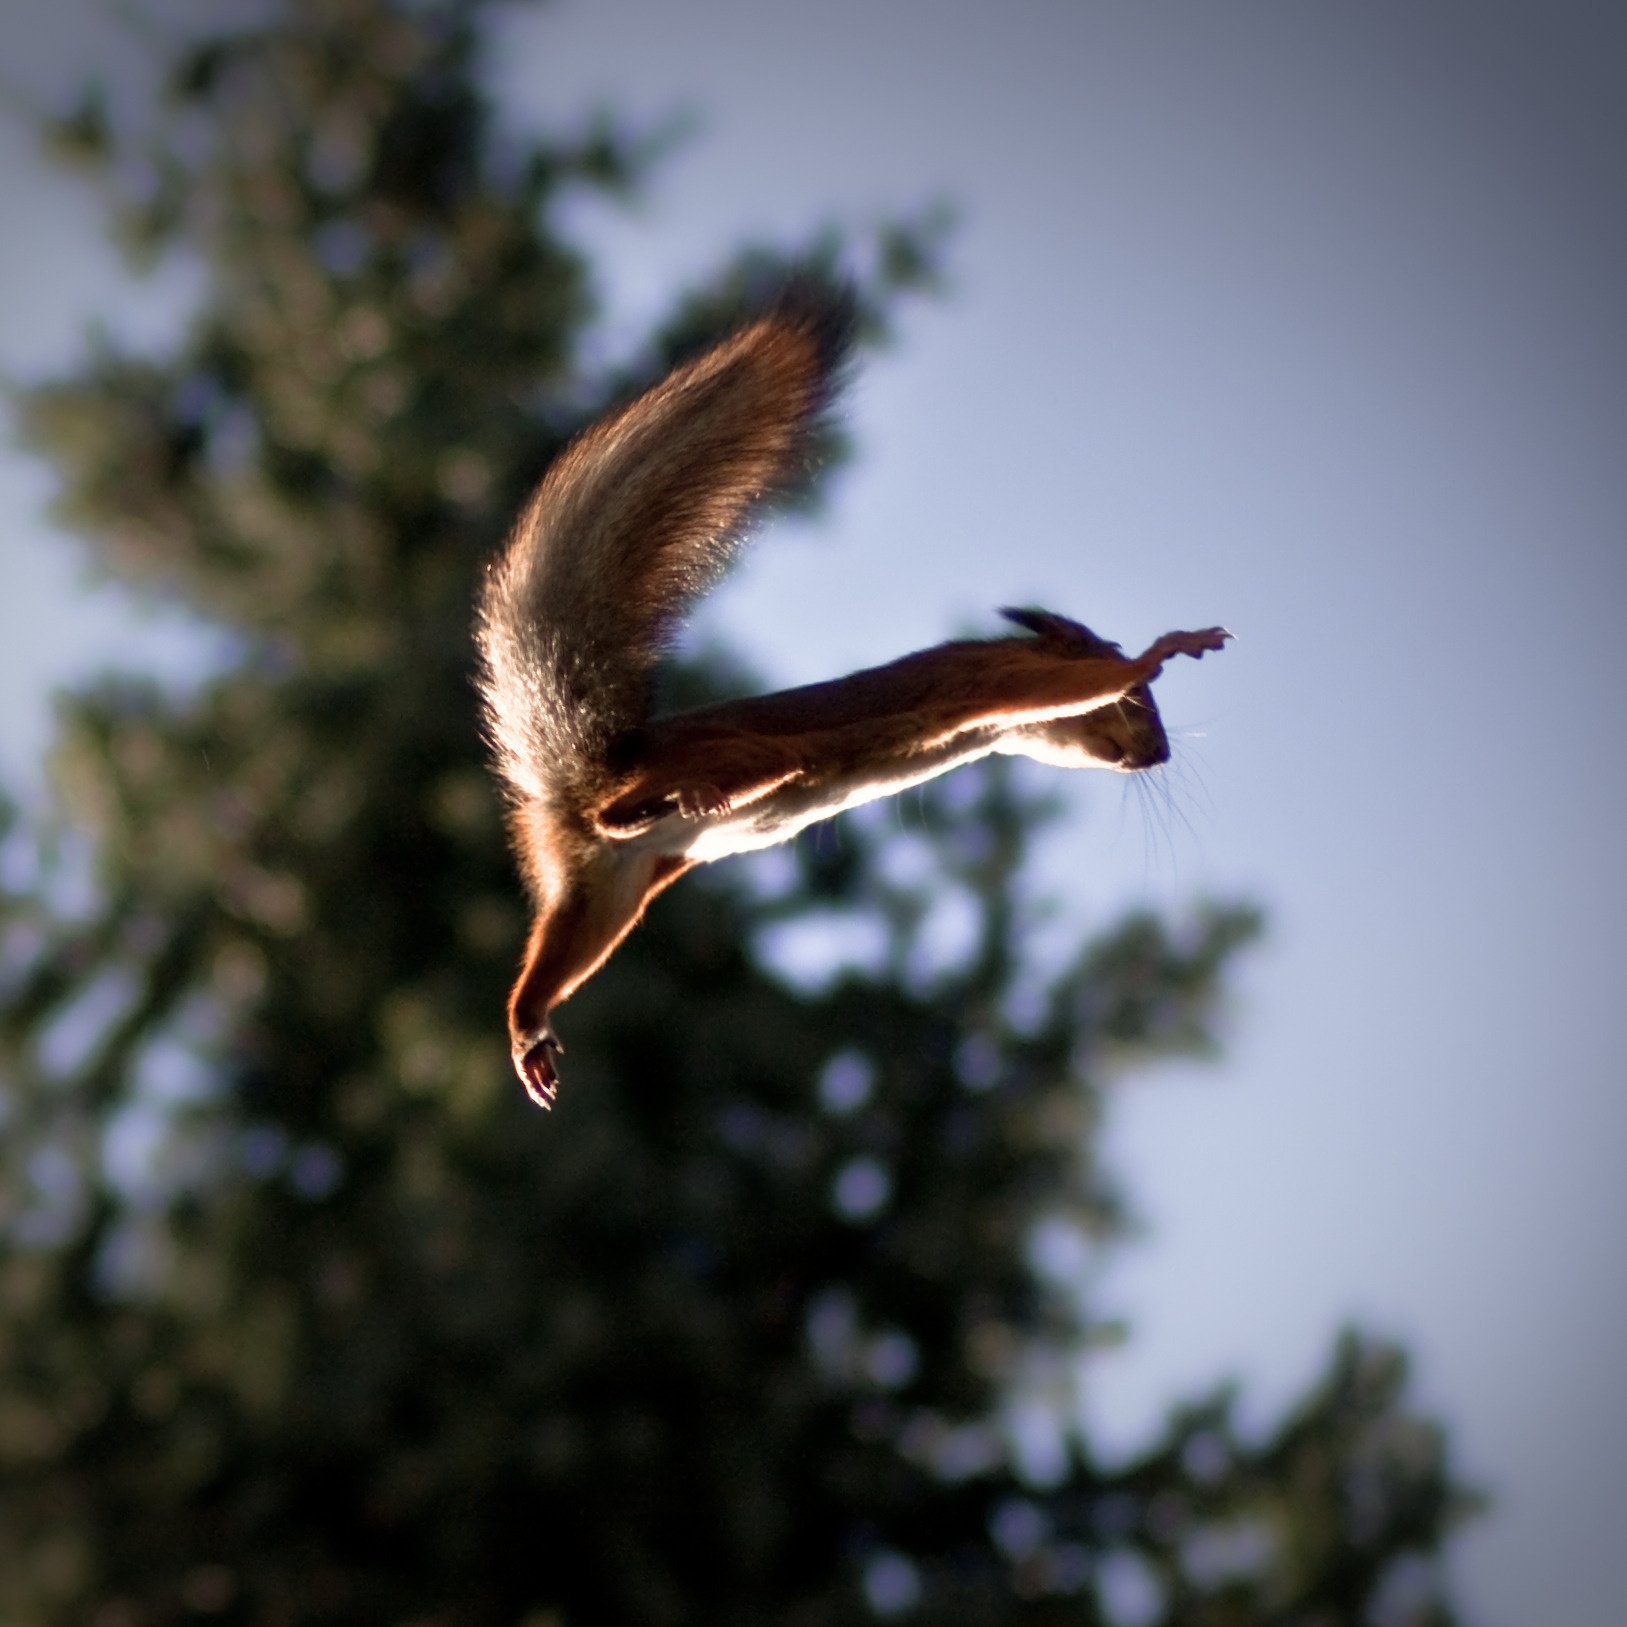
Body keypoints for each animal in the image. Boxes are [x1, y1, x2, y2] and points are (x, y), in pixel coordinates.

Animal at [476, 285, 1229, 1107]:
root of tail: (584, 779)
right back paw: (666, 803)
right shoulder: (1002, 680)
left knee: (555, 950)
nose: (1158, 754)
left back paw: (528, 1028)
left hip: (610, 894)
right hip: (740, 761)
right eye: (1141, 707)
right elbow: (1077, 682)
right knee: (658, 797)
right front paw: (1168, 649)